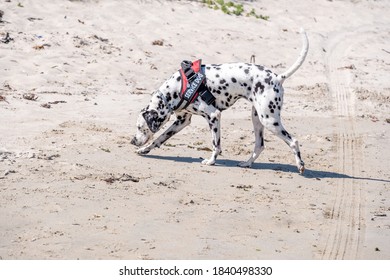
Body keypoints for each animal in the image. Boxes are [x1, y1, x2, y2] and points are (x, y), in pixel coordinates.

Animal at [131, 28, 308, 173]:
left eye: (140, 127)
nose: (132, 141)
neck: (176, 88)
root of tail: (277, 77)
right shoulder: (182, 121)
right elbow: (160, 138)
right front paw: (145, 150)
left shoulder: (213, 116)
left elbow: (216, 145)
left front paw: (211, 161)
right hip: (257, 119)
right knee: (259, 145)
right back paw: (247, 163)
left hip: (269, 120)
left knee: (293, 141)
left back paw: (300, 165)